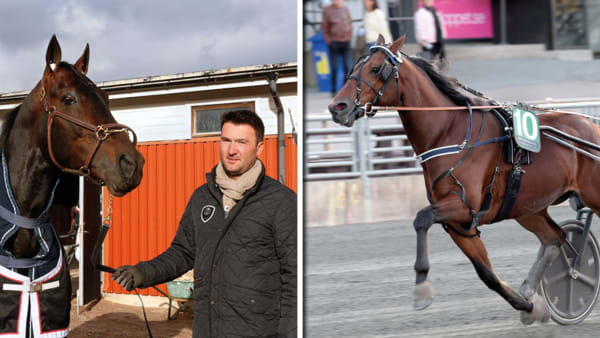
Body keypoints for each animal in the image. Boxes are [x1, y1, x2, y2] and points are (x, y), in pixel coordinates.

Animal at [326, 35, 600, 324]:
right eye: (354, 67)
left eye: (376, 69)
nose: (337, 107)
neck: (450, 133)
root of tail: (591, 127)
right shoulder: (460, 224)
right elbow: (487, 274)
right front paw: (529, 306)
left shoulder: (463, 207)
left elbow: (421, 218)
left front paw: (421, 287)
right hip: (528, 208)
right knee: (556, 237)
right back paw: (534, 285)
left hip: (591, 196)